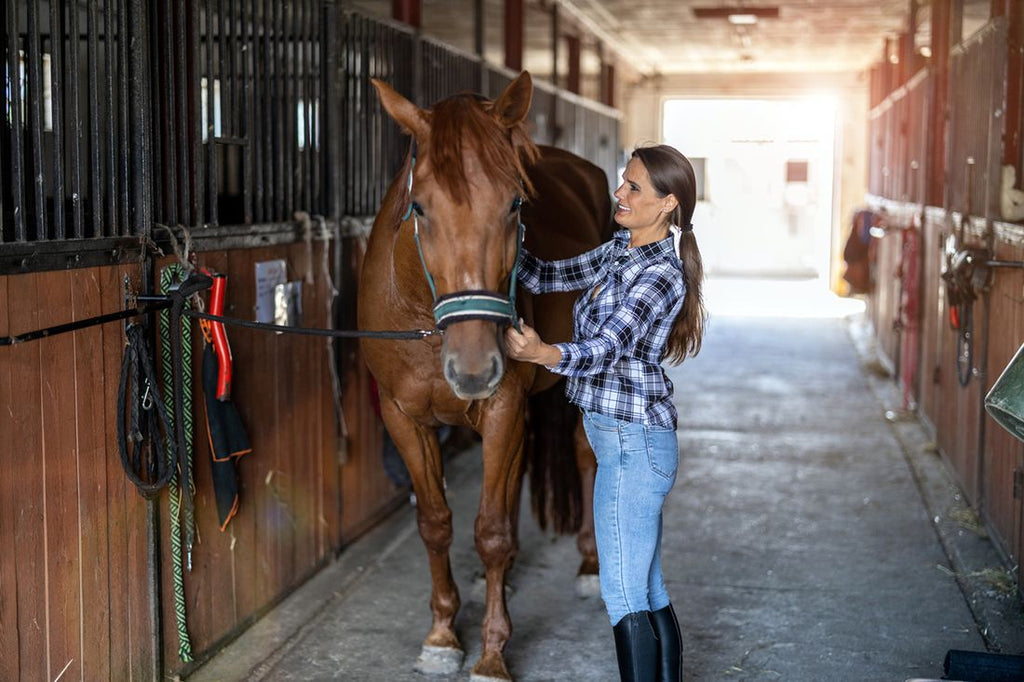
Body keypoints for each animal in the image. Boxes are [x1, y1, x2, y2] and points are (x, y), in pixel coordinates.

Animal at [358, 71, 612, 681]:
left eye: (515, 203)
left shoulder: (502, 410)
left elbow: (490, 531)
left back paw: (589, 566)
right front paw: (443, 635)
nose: (473, 370)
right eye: (419, 207)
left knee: (583, 457)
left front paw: (493, 653)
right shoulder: (404, 419)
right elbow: (435, 522)